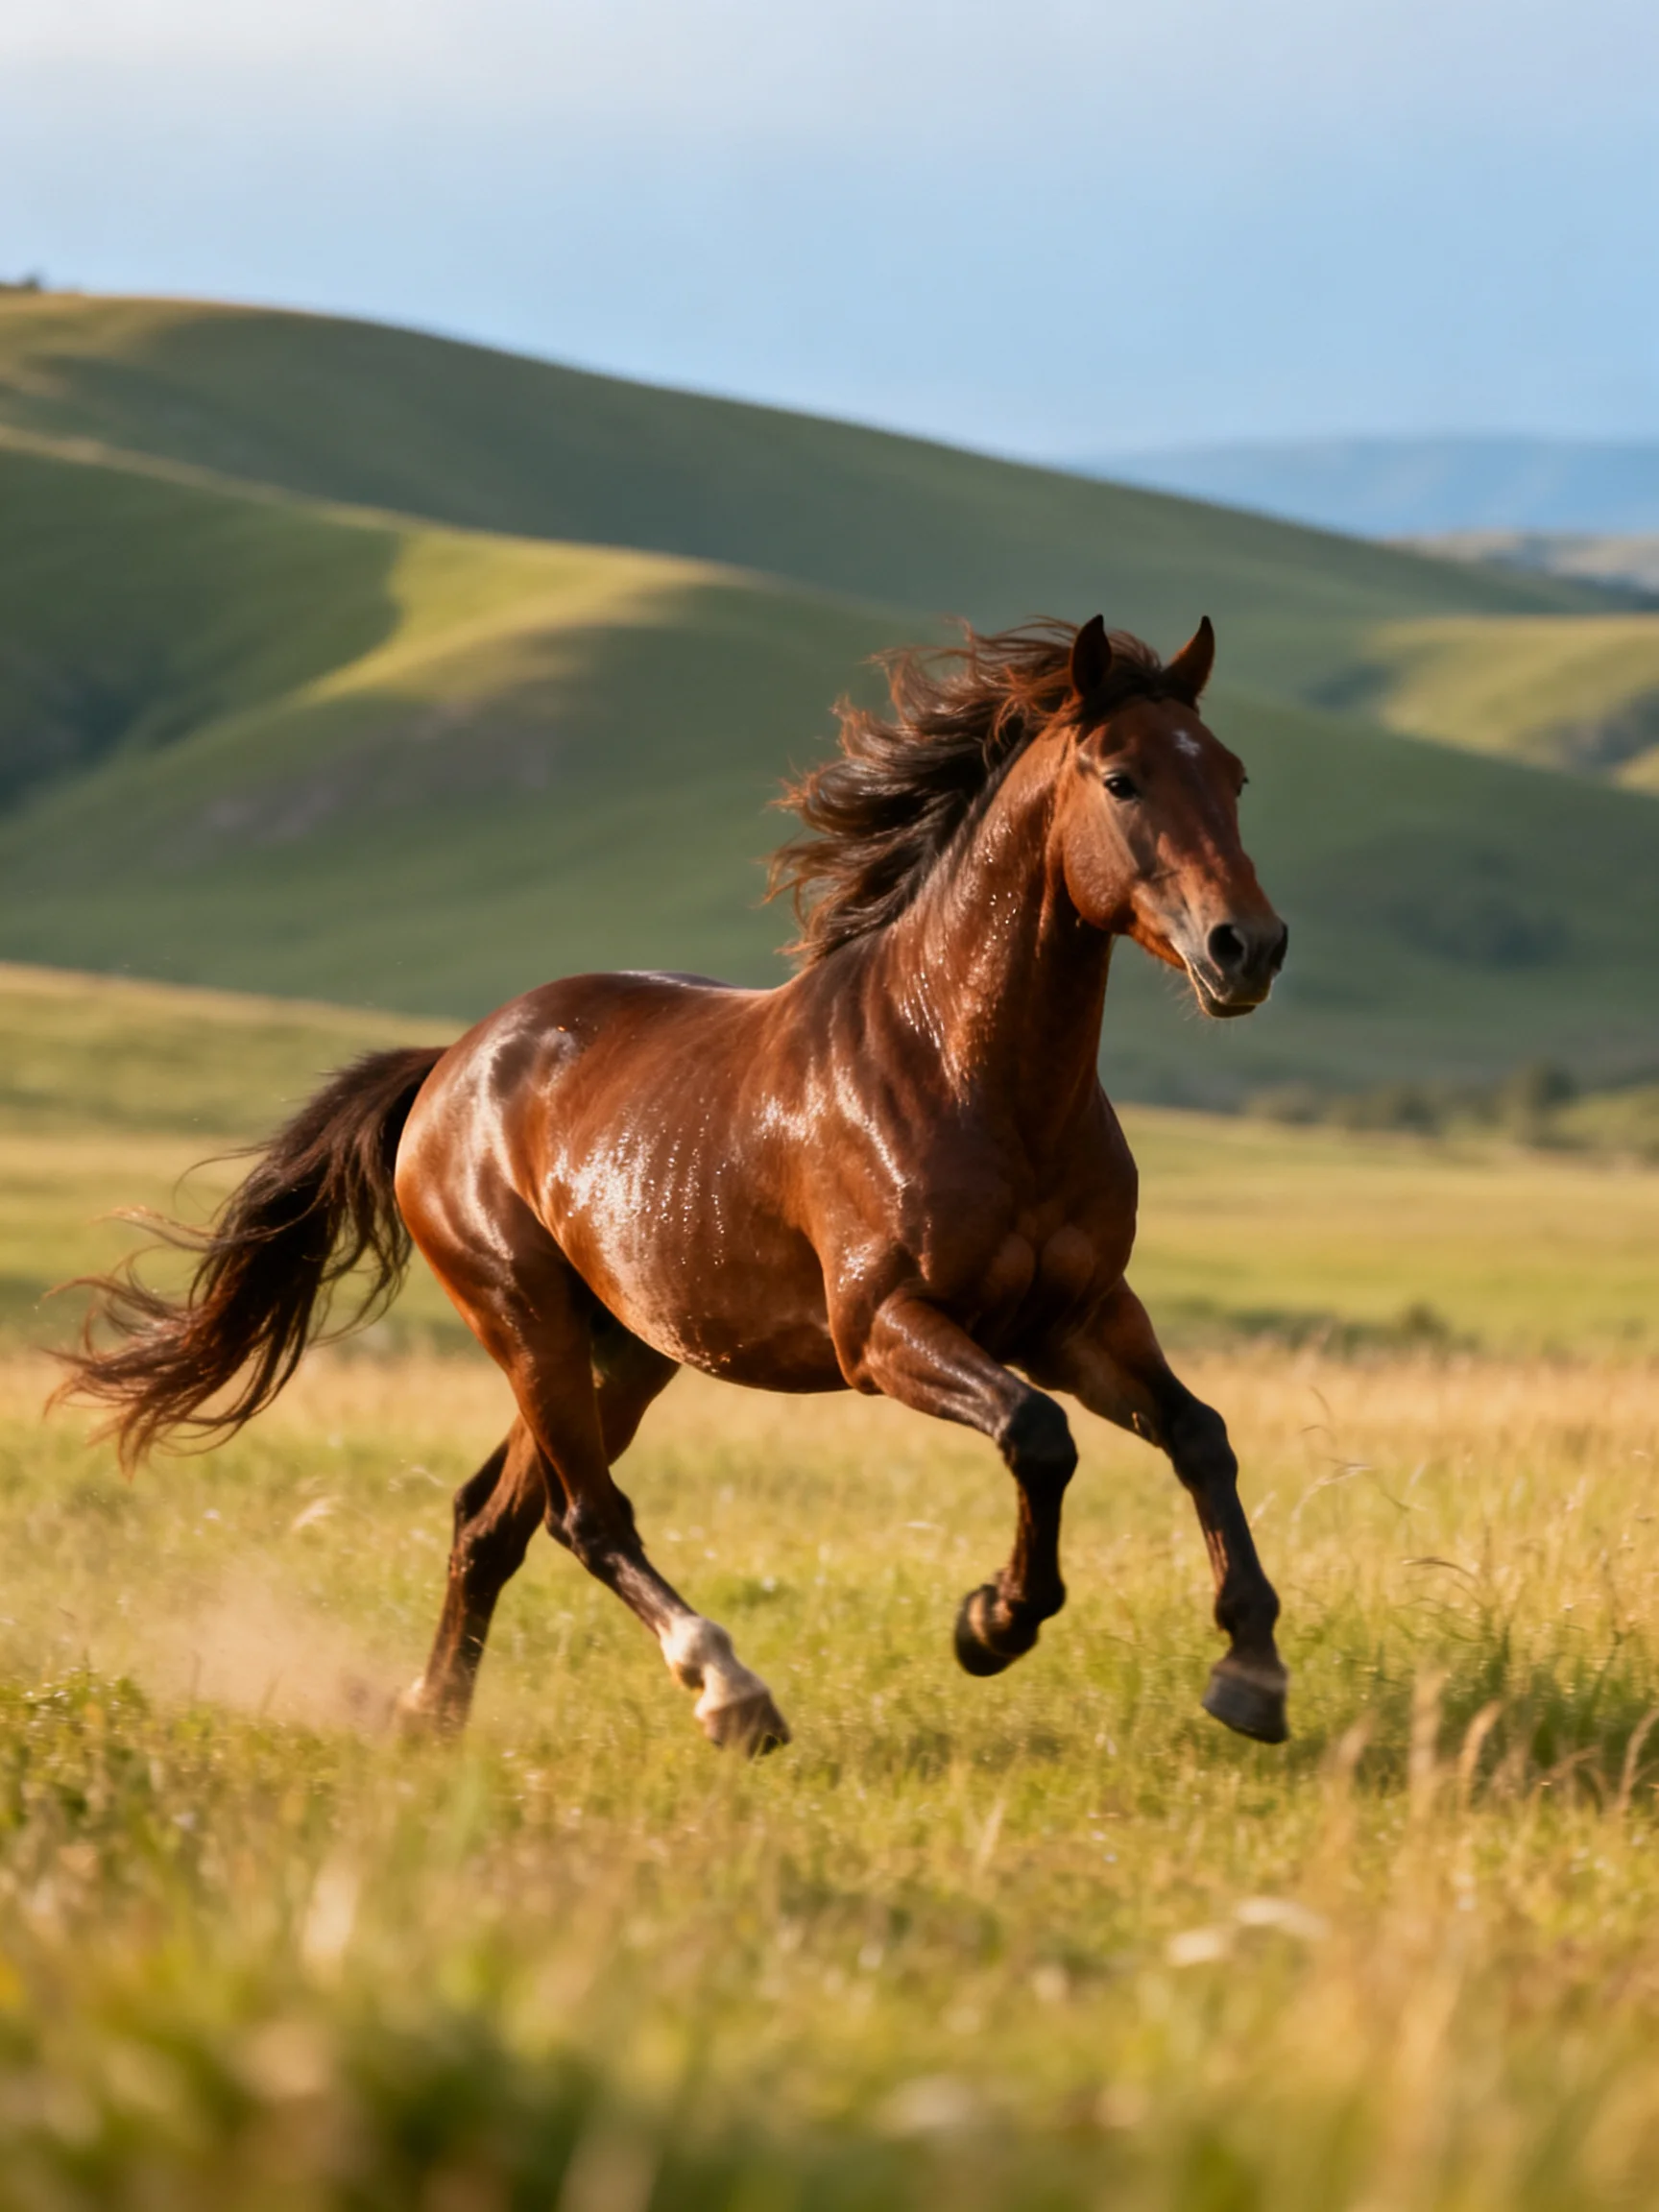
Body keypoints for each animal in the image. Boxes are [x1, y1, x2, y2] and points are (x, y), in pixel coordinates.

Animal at [60, 614, 1292, 1749]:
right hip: (525, 1320)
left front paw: (1251, 1672)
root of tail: (452, 1064)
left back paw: (434, 1714)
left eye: (1234, 775)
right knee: (584, 1519)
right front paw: (992, 1623)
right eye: (1122, 778)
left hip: (623, 1349)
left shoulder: (1078, 1316)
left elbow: (1199, 1434)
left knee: (490, 1520)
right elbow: (1038, 1437)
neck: (966, 1070)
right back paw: (728, 1690)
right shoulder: (883, 1328)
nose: (1249, 947)